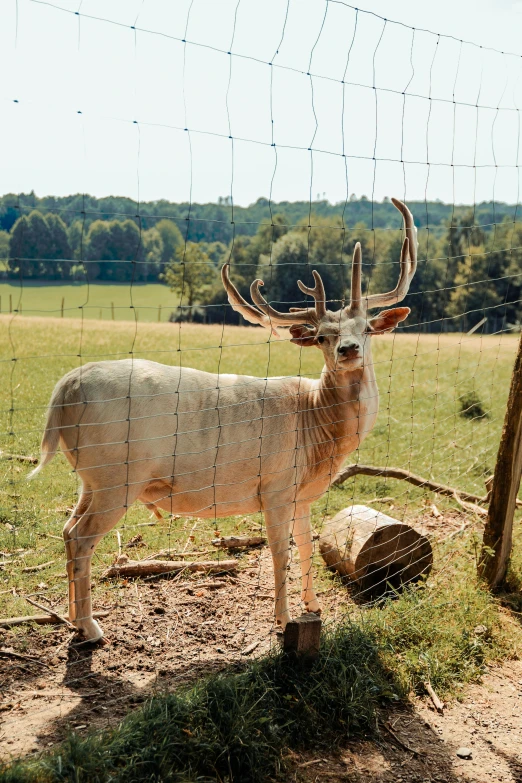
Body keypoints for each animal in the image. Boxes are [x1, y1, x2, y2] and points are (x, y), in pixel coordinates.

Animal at [30, 198, 416, 644]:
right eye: (322, 336)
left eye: (367, 328)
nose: (348, 349)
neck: (317, 429)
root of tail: (64, 390)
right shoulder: (276, 485)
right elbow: (279, 552)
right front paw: (283, 621)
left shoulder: (301, 494)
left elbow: (306, 546)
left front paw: (314, 607)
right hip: (118, 475)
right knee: (81, 537)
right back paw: (91, 628)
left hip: (91, 477)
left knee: (66, 529)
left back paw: (73, 619)